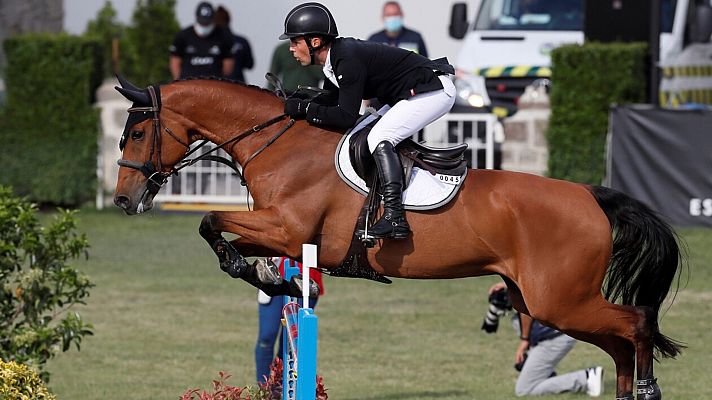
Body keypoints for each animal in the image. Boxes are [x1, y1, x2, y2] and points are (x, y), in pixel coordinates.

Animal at [112, 76, 684, 398]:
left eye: (137, 133)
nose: (123, 201)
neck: (280, 142)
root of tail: (591, 196)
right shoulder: (282, 234)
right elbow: (227, 236)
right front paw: (273, 280)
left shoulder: (288, 227)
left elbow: (209, 220)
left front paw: (258, 273)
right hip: (548, 302)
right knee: (619, 342)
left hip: (559, 299)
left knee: (636, 324)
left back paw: (649, 387)